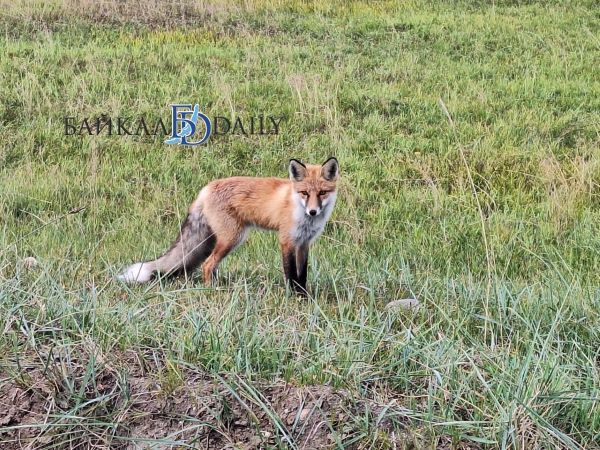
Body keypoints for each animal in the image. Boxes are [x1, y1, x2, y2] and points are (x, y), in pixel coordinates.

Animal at [117, 156, 340, 294]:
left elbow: (302, 275)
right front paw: (293, 297)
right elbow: (290, 274)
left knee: (211, 264)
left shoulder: (304, 244)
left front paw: (304, 297)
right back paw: (211, 290)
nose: (313, 211)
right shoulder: (287, 241)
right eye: (304, 193)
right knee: (207, 264)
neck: (301, 213)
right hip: (232, 238)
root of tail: (205, 188)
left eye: (322, 193)